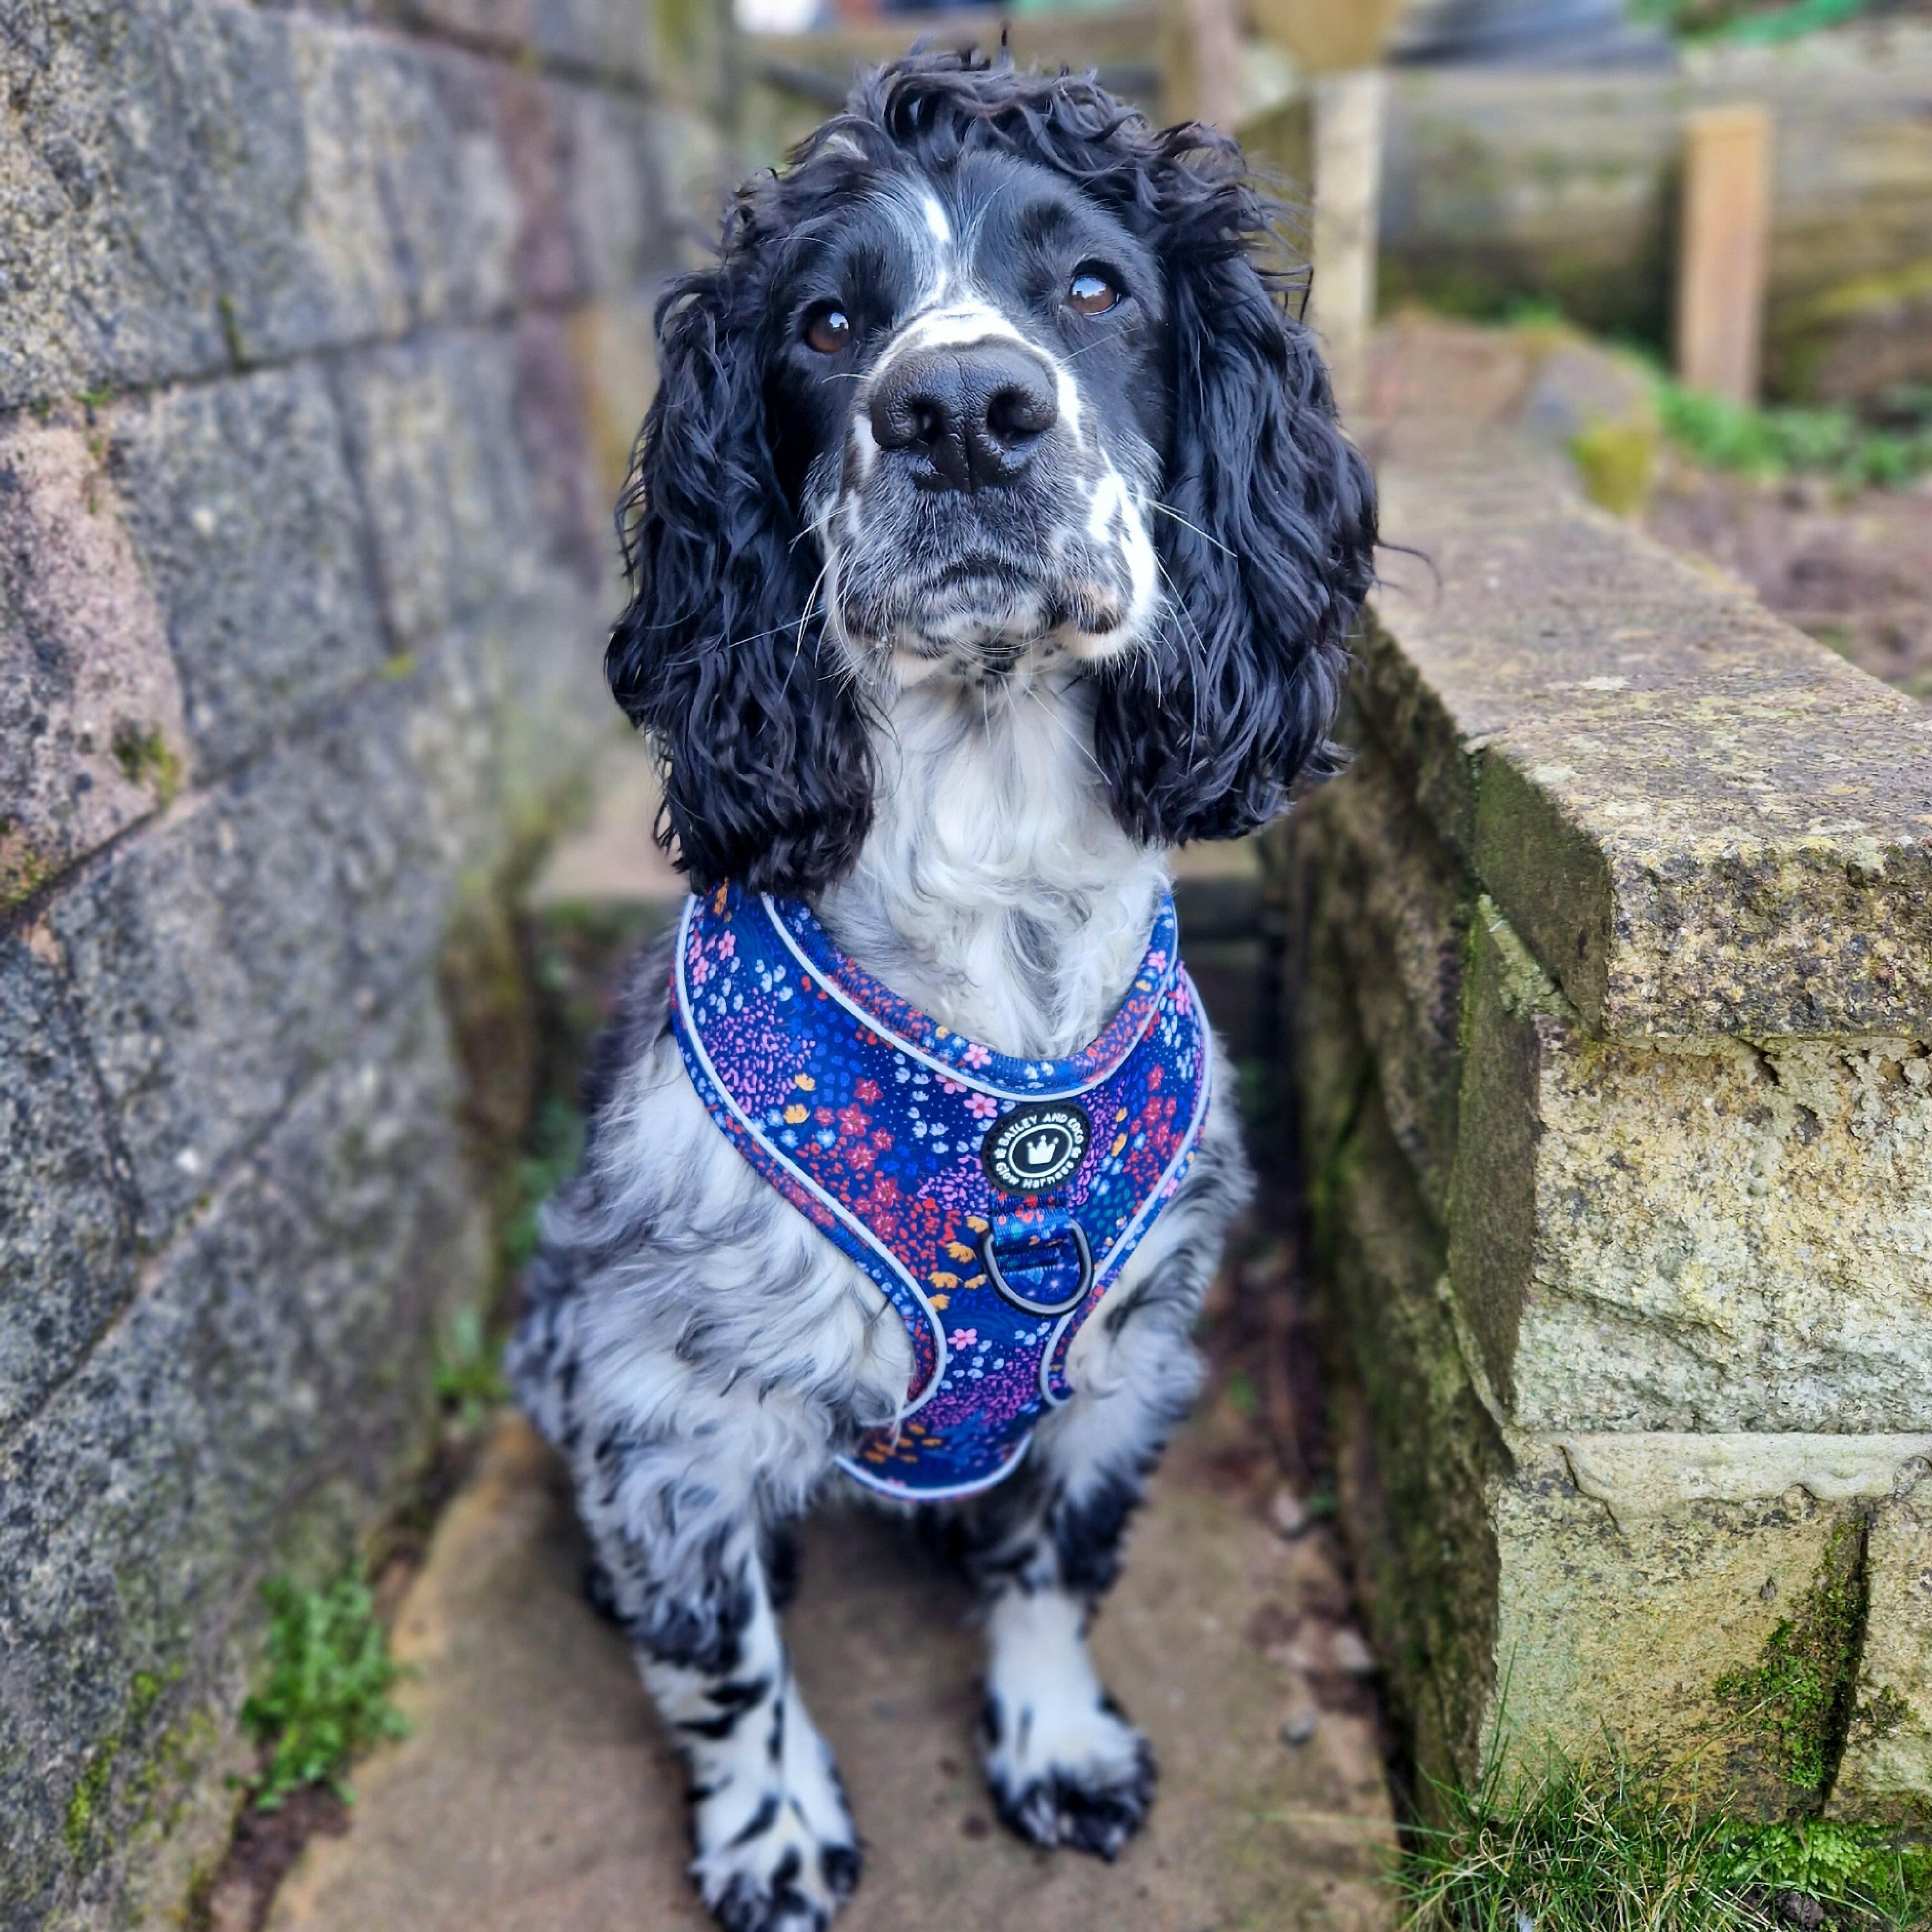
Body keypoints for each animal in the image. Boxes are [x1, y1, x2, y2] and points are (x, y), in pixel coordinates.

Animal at [509, 45, 1375, 1932]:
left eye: (1098, 288)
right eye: (829, 323)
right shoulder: (662, 1407)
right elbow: (728, 1662)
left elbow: (1055, 1567)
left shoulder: (1129, 1362)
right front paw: (770, 1832)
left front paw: (1057, 1744)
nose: (965, 407)